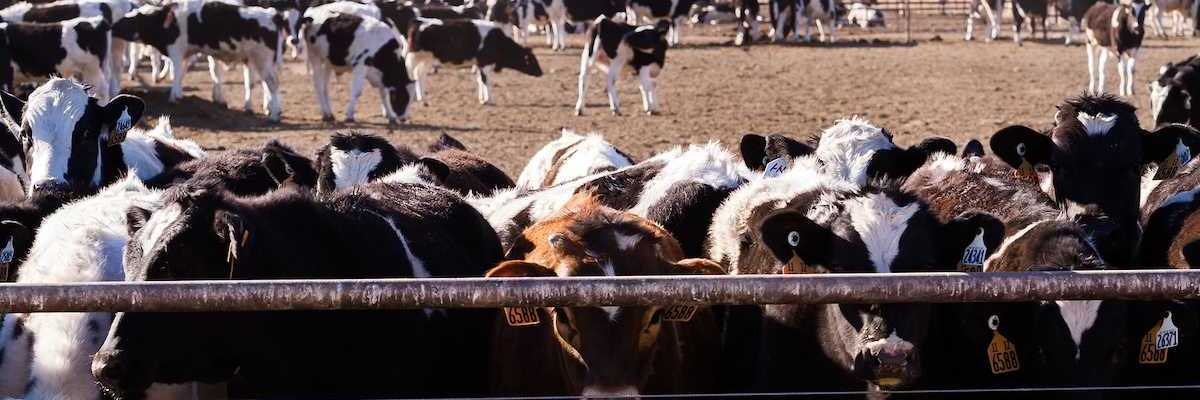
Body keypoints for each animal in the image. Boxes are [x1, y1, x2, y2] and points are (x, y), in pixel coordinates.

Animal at [112, 0, 287, 122]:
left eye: (135, 19)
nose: (114, 26)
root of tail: (272, 14)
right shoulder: (186, 53)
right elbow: (181, 73)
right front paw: (179, 94)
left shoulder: (176, 49)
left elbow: (176, 72)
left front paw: (173, 98)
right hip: (263, 61)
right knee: (267, 84)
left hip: (262, 60)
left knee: (272, 84)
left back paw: (274, 115)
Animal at [405, 18, 542, 105]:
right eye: (531, 60)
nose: (541, 73)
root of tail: (418, 21)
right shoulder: (485, 63)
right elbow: (486, 81)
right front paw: (488, 100)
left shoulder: (479, 64)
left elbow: (480, 80)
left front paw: (482, 99)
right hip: (413, 57)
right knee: (412, 73)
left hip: (426, 59)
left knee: (420, 75)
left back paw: (423, 99)